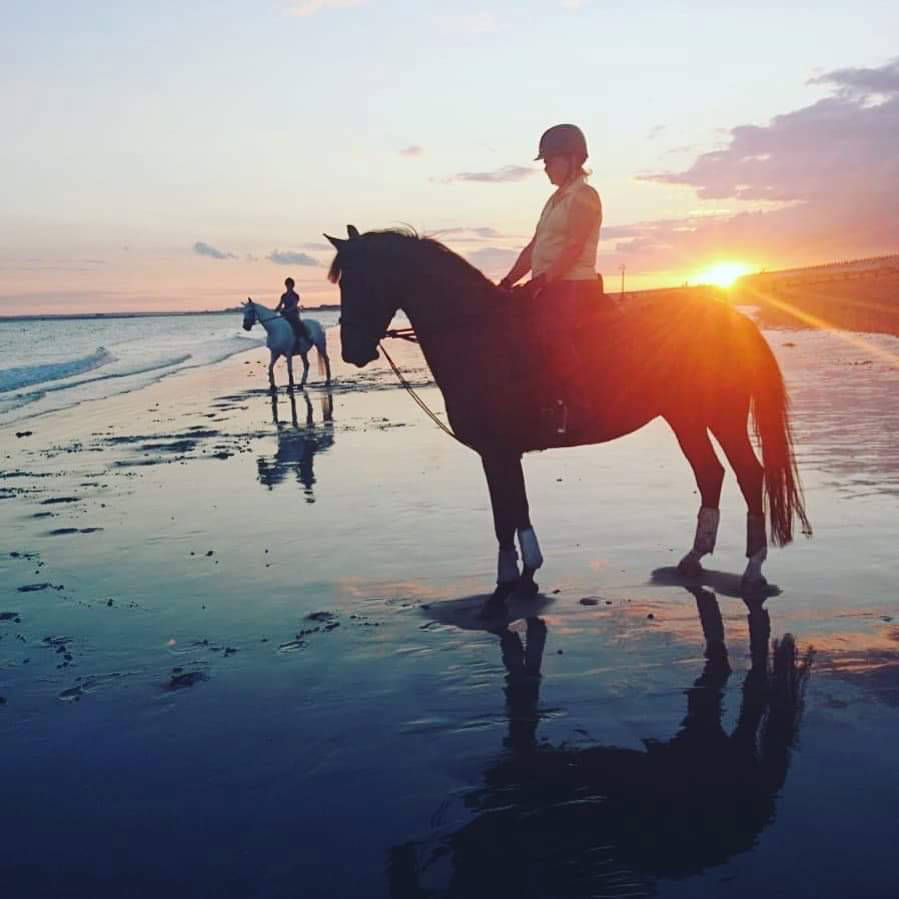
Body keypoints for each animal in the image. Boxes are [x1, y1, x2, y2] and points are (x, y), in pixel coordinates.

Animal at [326, 225, 812, 608]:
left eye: (361, 281)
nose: (352, 350)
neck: (479, 335)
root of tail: (735, 320)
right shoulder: (503, 452)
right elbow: (515, 508)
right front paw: (525, 575)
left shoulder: (497, 451)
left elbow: (504, 515)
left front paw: (506, 585)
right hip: (684, 417)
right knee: (710, 473)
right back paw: (693, 559)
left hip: (721, 417)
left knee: (750, 474)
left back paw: (753, 569)